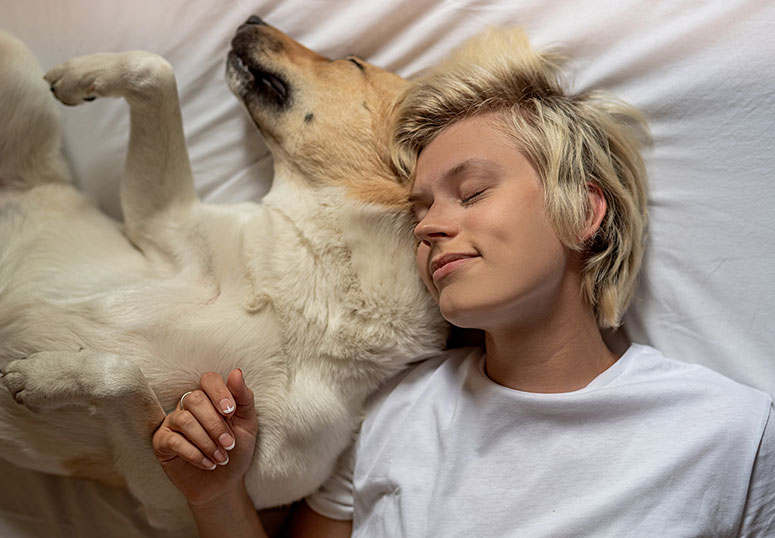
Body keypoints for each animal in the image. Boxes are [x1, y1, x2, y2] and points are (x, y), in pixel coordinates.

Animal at [0, 17, 448, 528]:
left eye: (352, 63)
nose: (252, 19)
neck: (315, 294)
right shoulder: (161, 222)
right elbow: (156, 70)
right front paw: (81, 75)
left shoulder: (168, 497)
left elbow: (124, 376)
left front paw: (41, 377)